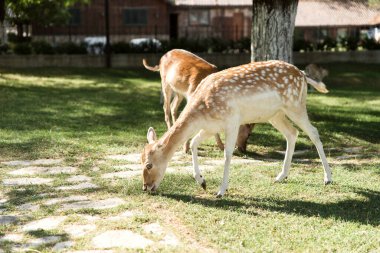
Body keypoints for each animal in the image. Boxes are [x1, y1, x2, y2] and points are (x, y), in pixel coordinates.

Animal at [140, 59, 332, 198]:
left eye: (149, 165)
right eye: (140, 161)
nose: (145, 187)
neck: (202, 112)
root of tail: (303, 75)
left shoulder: (231, 121)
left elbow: (227, 154)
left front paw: (221, 191)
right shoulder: (210, 127)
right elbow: (194, 143)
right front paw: (202, 181)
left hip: (295, 105)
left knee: (313, 132)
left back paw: (328, 178)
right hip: (275, 115)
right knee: (292, 133)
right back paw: (281, 176)